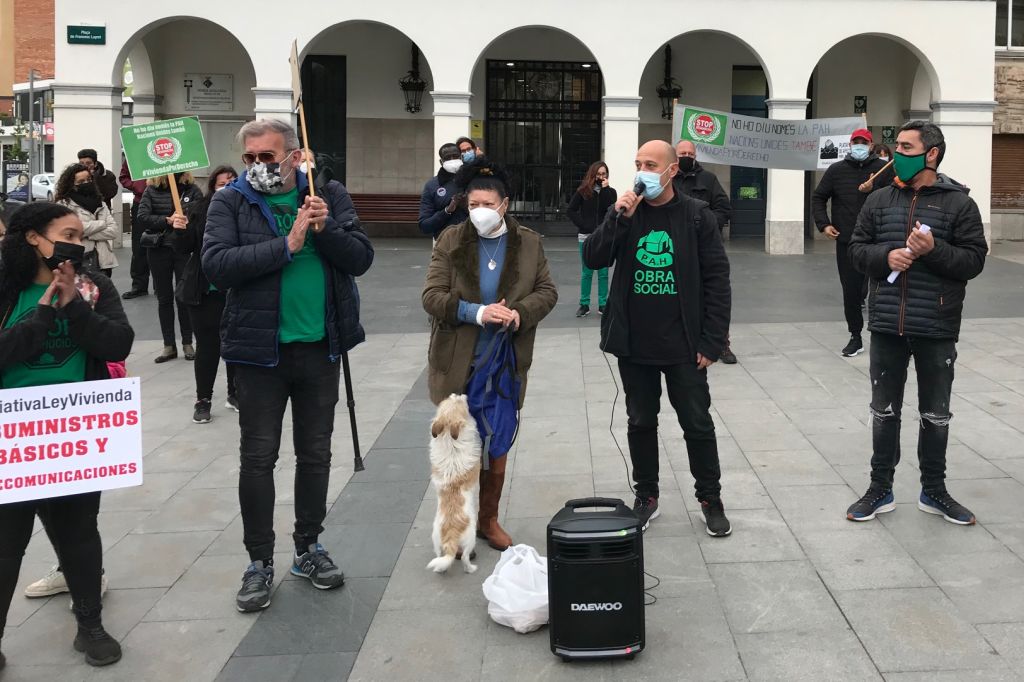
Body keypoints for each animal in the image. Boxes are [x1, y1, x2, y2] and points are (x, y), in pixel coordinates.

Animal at [423, 391, 479, 569]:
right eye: (459, 401)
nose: (459, 393)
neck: (449, 437)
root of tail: (451, 536)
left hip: (435, 538)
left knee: (439, 555)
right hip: (470, 538)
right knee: (465, 557)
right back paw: (471, 569)